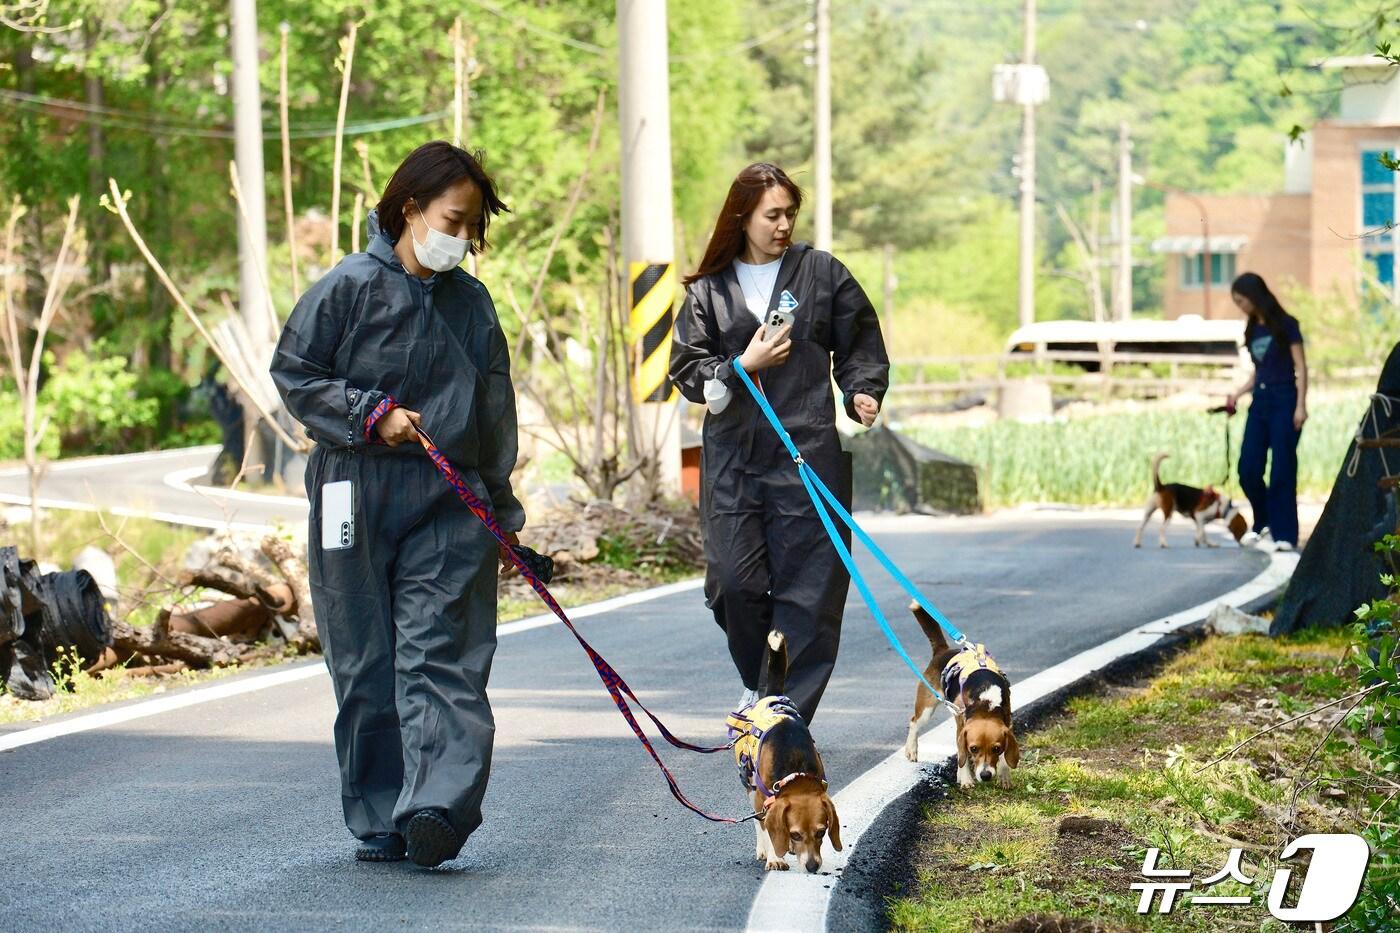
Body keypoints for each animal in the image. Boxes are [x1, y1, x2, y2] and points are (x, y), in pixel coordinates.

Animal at [733, 627, 840, 868]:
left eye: (821, 832)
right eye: (796, 834)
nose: (812, 867)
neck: (794, 771)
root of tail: (772, 695)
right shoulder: (764, 801)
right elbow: (767, 829)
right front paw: (775, 858)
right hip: (750, 785)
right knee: (758, 823)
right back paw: (763, 850)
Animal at [907, 599, 1019, 790]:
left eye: (997, 749)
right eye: (973, 748)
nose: (985, 776)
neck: (985, 702)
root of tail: (943, 651)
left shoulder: (1007, 721)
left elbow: (1004, 760)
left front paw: (1005, 777)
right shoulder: (962, 725)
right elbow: (963, 758)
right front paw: (966, 780)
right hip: (927, 708)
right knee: (914, 722)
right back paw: (911, 750)